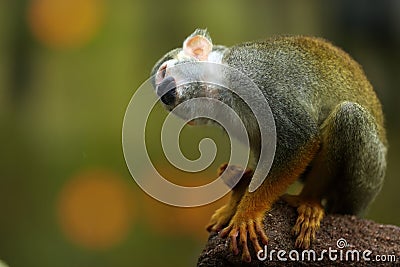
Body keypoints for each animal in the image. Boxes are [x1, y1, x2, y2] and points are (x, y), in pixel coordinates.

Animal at [151, 28, 388, 262]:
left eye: (164, 72)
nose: (164, 95)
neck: (218, 84)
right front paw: (236, 201)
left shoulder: (250, 76)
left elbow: (300, 139)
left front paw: (247, 214)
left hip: (366, 180)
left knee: (349, 114)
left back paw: (310, 199)